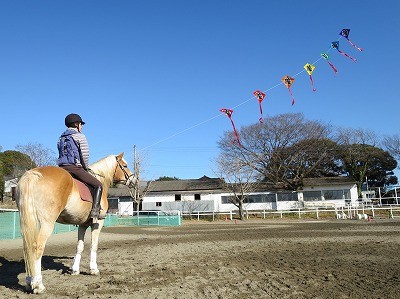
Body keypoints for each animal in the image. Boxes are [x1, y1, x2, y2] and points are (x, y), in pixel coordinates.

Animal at [16, 154, 134, 294]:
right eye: (125, 165)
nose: (134, 179)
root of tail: (33, 173)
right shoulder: (98, 223)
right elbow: (94, 245)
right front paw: (94, 269)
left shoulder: (82, 225)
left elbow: (79, 246)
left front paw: (75, 270)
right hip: (47, 223)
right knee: (37, 248)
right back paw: (38, 285)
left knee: (28, 247)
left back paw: (30, 282)